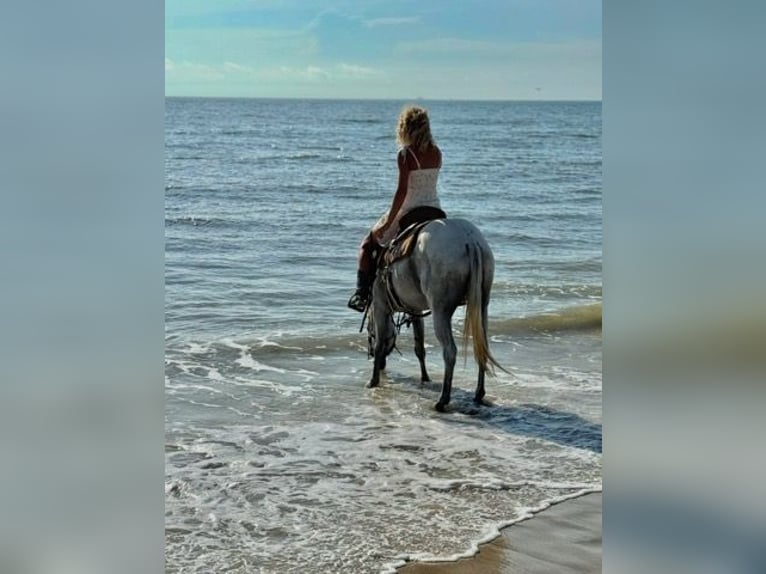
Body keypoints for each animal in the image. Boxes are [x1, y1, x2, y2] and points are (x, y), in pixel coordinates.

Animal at [364, 218, 504, 411]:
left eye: (369, 331)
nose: (382, 365)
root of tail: (470, 240)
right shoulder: (415, 311)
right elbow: (419, 347)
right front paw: (425, 378)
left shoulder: (380, 307)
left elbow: (379, 345)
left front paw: (373, 381)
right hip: (482, 305)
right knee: (481, 347)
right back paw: (478, 393)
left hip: (440, 311)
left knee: (450, 351)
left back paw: (443, 400)